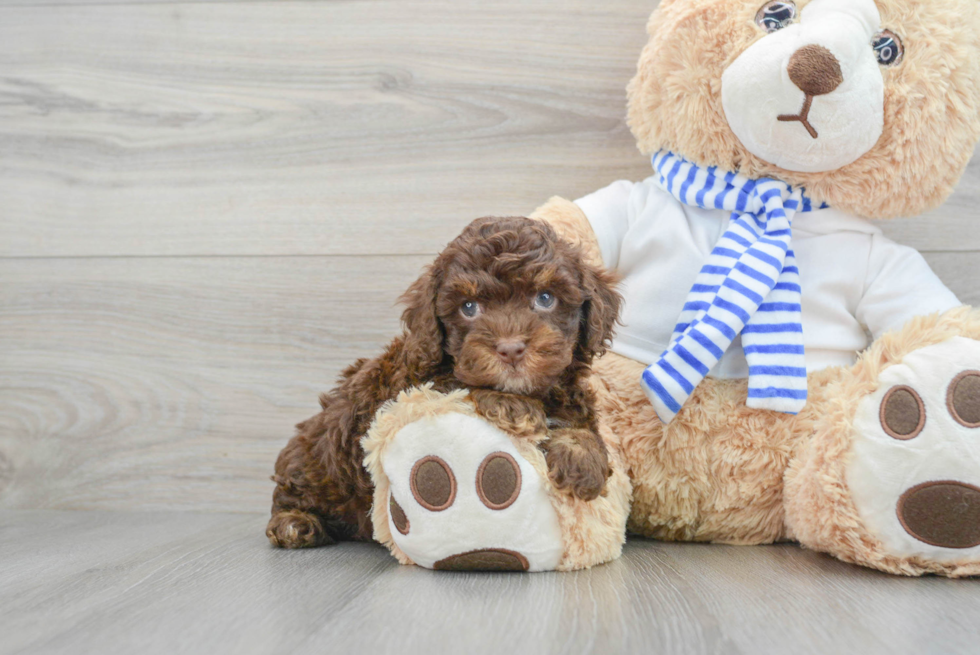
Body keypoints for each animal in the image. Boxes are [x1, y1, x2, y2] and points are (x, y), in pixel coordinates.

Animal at [268, 215, 620, 548]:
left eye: (545, 298)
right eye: (469, 307)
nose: (510, 349)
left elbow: (580, 424)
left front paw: (584, 461)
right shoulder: (402, 389)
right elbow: (456, 380)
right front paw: (514, 407)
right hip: (311, 465)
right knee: (289, 494)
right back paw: (294, 523)